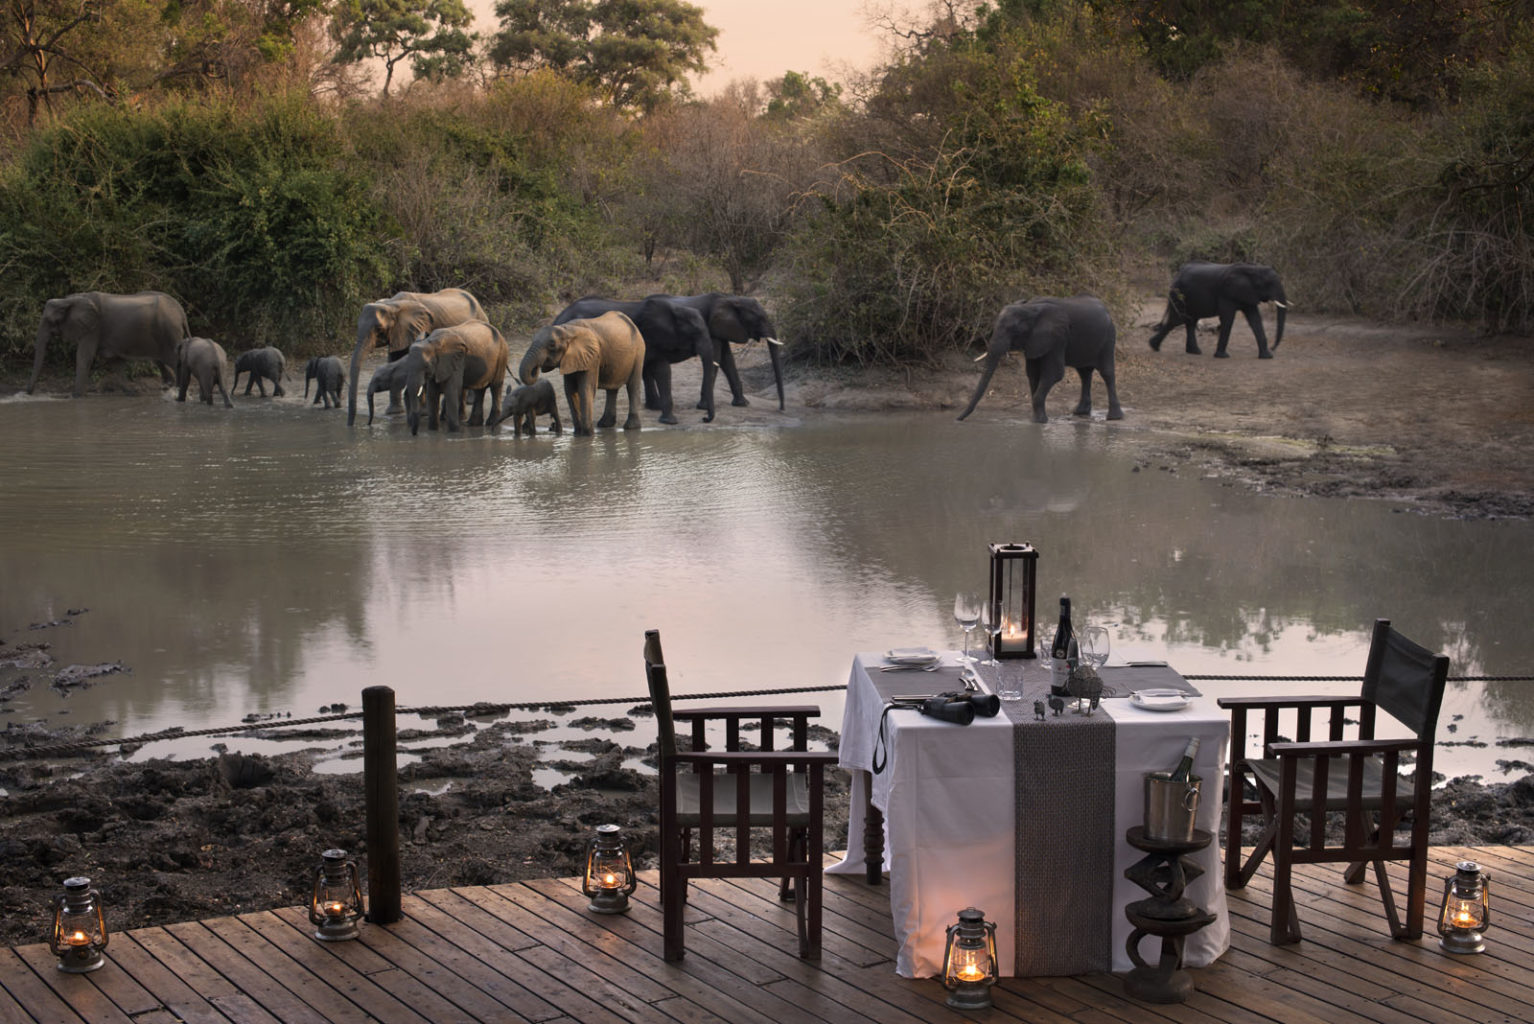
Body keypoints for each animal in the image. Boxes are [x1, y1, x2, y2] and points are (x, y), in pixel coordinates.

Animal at [27, 290, 191, 397]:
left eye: (51, 321)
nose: (28, 393)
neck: (70, 299)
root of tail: (181, 312)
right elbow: (115, 362)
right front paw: (132, 393)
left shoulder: (93, 328)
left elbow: (84, 357)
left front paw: (76, 397)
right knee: (160, 361)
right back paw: (168, 388)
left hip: (169, 332)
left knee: (173, 361)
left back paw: (177, 391)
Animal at [346, 288, 487, 425]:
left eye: (379, 329)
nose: (351, 424)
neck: (392, 304)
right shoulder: (399, 332)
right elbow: (394, 359)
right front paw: (394, 412)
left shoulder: (420, 328)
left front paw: (423, 413)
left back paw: (470, 401)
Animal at [553, 296, 716, 424]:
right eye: (696, 333)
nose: (704, 418)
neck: (676, 310)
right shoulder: (653, 338)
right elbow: (662, 370)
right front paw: (669, 421)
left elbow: (647, 370)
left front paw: (654, 407)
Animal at [957, 296, 1123, 424]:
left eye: (1014, 330)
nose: (957, 419)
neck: (1030, 308)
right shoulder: (1034, 340)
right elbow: (1033, 373)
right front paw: (1037, 420)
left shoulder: (1057, 337)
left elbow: (1054, 373)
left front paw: (1039, 421)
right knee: (1084, 373)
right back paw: (1080, 413)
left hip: (1109, 336)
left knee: (1106, 372)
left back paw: (1114, 418)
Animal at [1147, 262, 1289, 358]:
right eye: (1268, 284)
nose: (1273, 348)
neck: (1253, 269)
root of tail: (1176, 275)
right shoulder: (1226, 293)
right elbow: (1228, 318)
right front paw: (1223, 356)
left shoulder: (1249, 294)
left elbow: (1255, 320)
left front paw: (1267, 356)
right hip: (1179, 295)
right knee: (1178, 320)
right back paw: (1153, 346)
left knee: (1190, 321)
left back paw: (1194, 351)